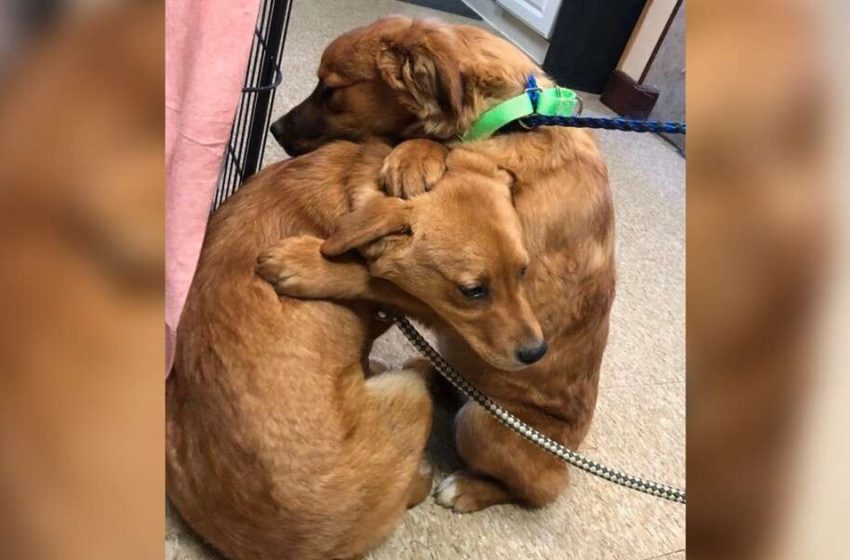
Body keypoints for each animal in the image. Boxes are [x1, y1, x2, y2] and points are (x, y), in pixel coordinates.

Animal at [164, 141, 544, 560]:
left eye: (523, 271)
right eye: (473, 290)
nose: (537, 352)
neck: (347, 188)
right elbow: (380, 286)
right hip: (410, 393)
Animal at [270, 16, 608, 512]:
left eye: (330, 90)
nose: (274, 129)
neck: (511, 119)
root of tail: (567, 454)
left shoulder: (471, 298)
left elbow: (371, 276)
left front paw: (309, 265)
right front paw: (416, 154)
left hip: (482, 425)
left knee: (537, 490)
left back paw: (469, 487)